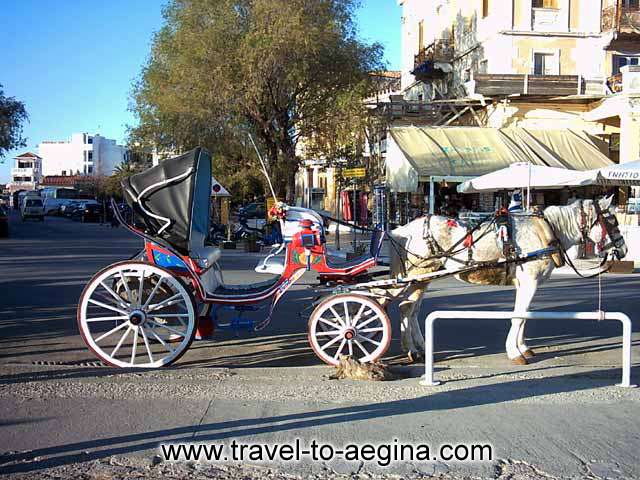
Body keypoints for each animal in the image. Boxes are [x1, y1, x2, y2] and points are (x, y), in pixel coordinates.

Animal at [384, 195, 624, 364]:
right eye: (612, 219)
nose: (624, 249)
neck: (545, 231)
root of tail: (402, 229)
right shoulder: (530, 282)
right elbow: (519, 317)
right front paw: (515, 353)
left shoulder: (526, 285)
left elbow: (524, 315)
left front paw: (523, 347)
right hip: (418, 274)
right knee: (406, 307)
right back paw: (412, 351)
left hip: (425, 277)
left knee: (412, 310)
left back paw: (421, 348)